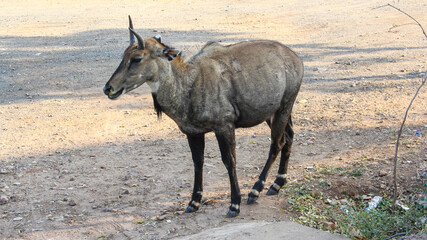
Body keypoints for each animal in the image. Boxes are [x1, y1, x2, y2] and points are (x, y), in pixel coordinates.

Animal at [103, 15, 304, 217]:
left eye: (137, 58)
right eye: (123, 56)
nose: (108, 88)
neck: (188, 83)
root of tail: (295, 57)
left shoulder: (224, 126)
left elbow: (229, 161)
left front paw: (234, 204)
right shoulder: (193, 132)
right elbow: (197, 162)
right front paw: (194, 202)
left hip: (284, 107)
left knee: (277, 143)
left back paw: (256, 190)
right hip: (271, 113)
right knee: (288, 136)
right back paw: (277, 183)